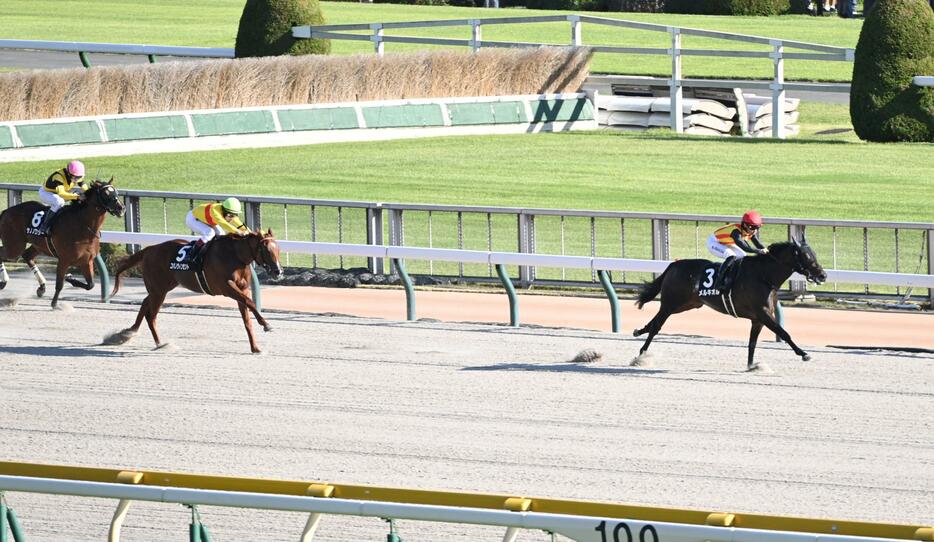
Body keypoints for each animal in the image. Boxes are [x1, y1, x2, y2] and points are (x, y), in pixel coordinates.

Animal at [0, 182, 125, 310]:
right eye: (106, 194)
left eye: (116, 192)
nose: (121, 208)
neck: (83, 226)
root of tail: (6, 211)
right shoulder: (64, 260)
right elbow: (59, 284)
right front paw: (55, 304)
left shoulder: (86, 261)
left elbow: (91, 285)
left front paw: (70, 278)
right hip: (14, 247)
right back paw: (4, 281)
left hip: (38, 245)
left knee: (27, 255)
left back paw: (42, 287)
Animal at [107, 231, 284, 354]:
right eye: (267, 251)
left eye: (278, 250)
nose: (278, 271)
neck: (235, 256)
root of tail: (149, 249)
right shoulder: (226, 287)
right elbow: (251, 303)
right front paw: (266, 325)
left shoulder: (243, 289)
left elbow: (247, 319)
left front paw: (255, 348)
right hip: (159, 290)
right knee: (151, 316)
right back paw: (160, 344)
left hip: (161, 287)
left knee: (145, 303)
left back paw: (127, 333)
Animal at [636, 239, 828, 372]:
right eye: (806, 256)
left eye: (814, 254)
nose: (823, 275)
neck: (763, 276)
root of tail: (673, 264)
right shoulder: (764, 314)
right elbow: (784, 333)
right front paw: (804, 354)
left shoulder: (758, 319)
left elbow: (752, 343)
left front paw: (751, 366)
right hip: (672, 303)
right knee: (656, 325)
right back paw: (641, 356)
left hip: (687, 304)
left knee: (654, 323)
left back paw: (638, 331)